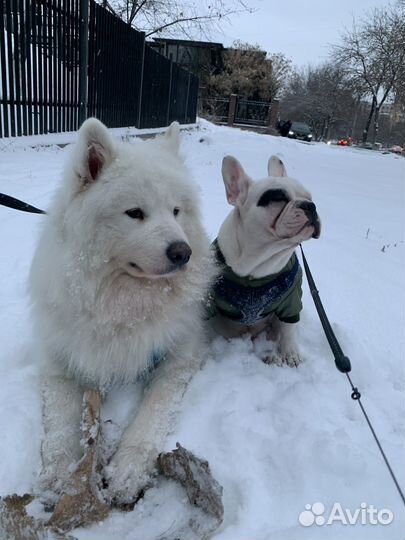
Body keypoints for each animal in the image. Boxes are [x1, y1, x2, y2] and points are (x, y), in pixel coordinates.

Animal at [29, 118, 213, 506]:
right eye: (135, 213)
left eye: (176, 211)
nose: (183, 253)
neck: (124, 303)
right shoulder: (57, 358)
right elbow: (58, 422)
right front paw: (58, 475)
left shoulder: (179, 358)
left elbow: (153, 412)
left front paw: (128, 469)